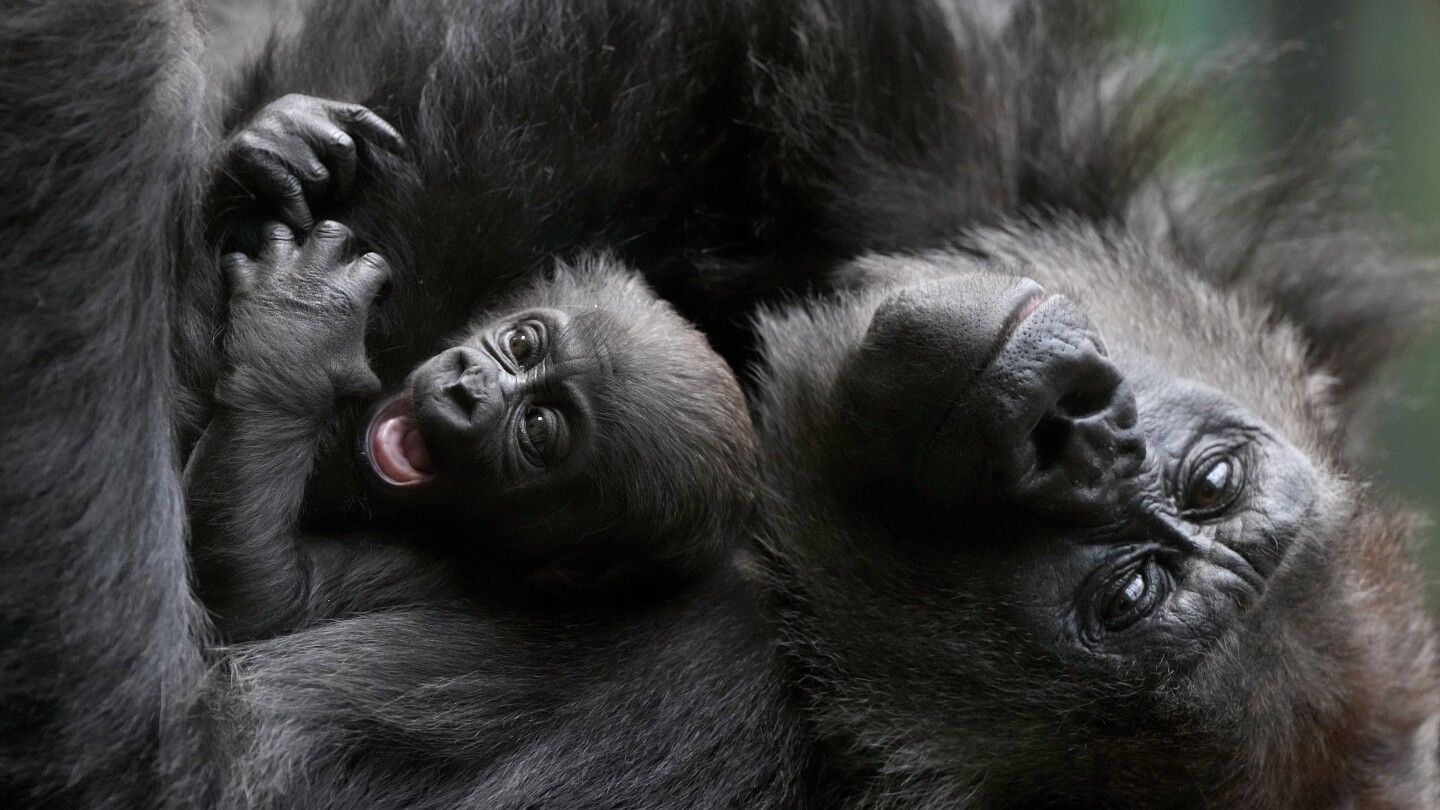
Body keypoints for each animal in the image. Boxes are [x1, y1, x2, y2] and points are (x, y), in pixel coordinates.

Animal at [187, 219, 754, 637]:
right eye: (522, 344)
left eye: (538, 427)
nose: (466, 387)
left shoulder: (452, 575)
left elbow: (267, 599)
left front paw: (298, 336)